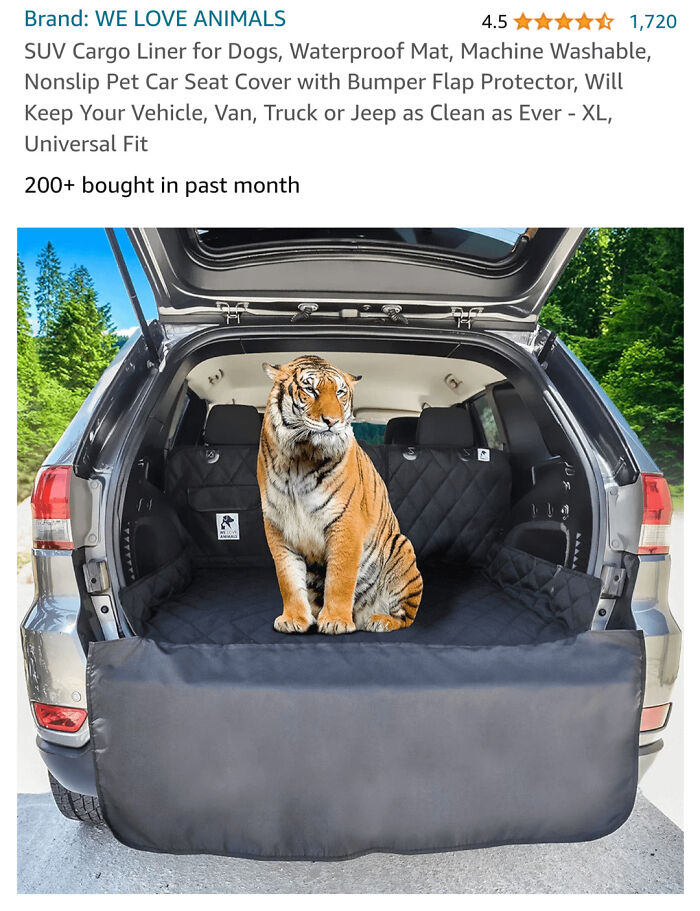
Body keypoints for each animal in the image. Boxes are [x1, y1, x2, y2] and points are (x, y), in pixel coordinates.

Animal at [257, 355, 423, 635]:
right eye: (310, 390)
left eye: (340, 392)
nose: (332, 421)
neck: (299, 458)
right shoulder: (277, 526)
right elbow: (288, 577)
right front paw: (293, 619)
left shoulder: (344, 521)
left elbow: (340, 576)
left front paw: (335, 621)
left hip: (401, 546)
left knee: (407, 617)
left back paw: (380, 620)